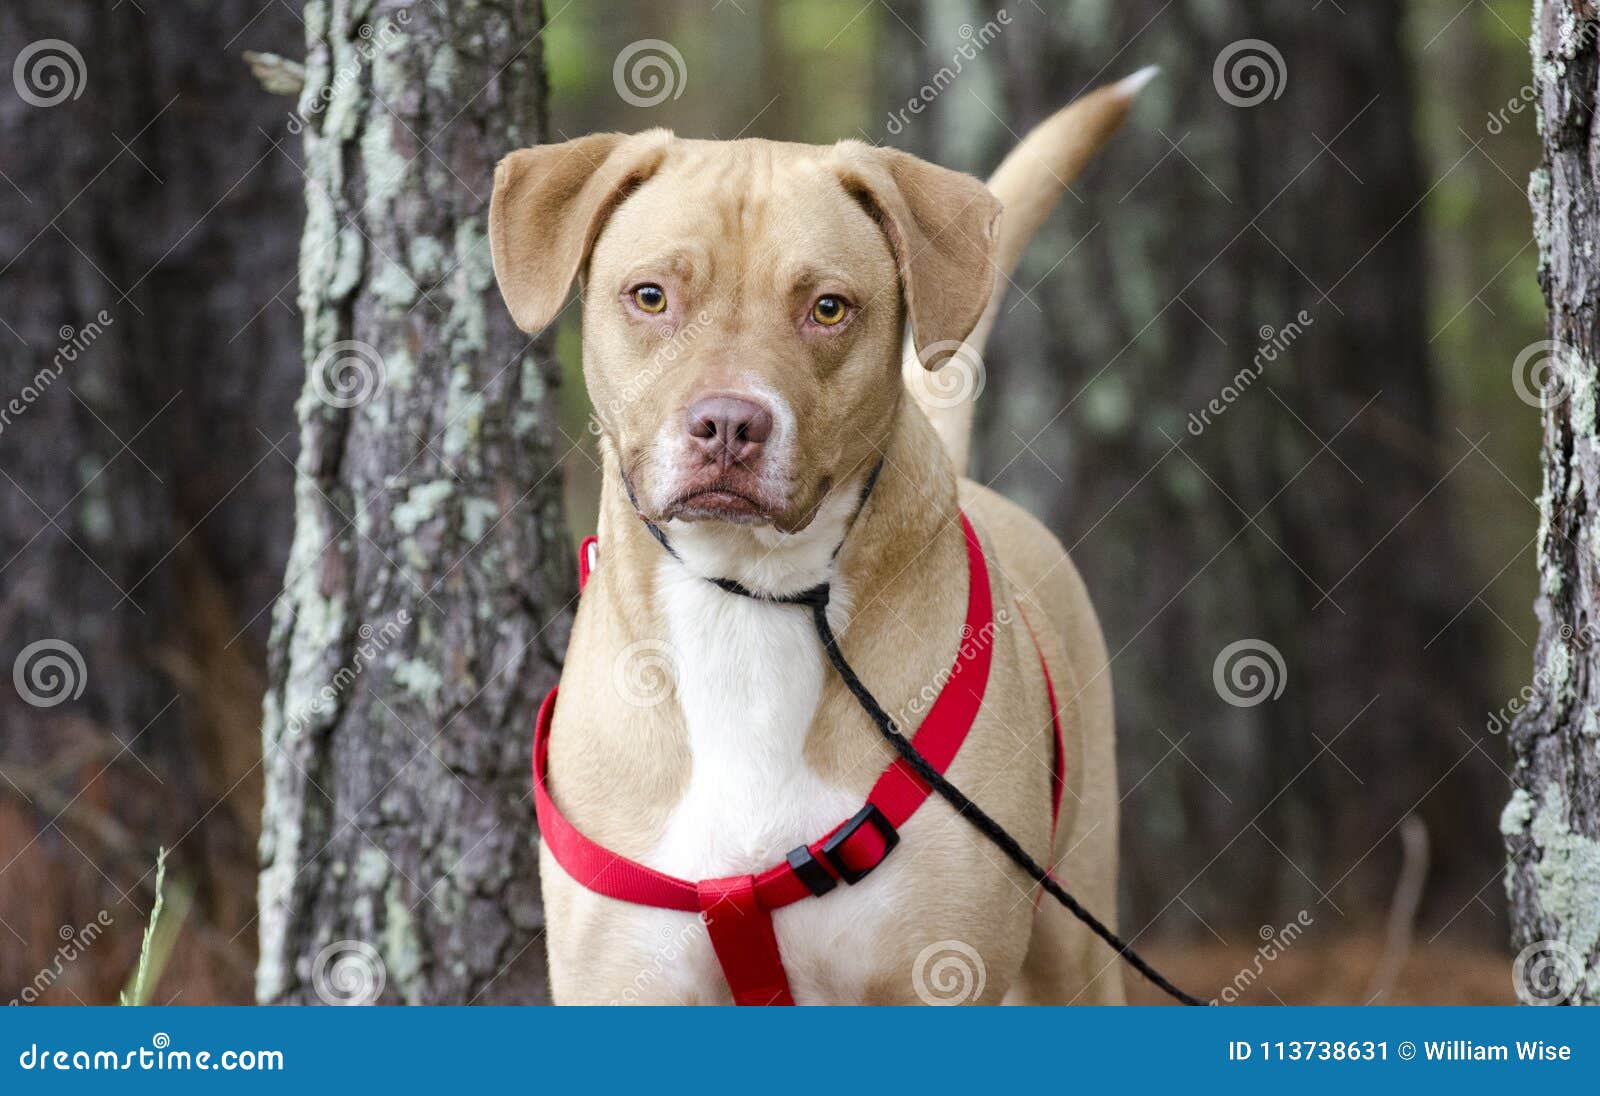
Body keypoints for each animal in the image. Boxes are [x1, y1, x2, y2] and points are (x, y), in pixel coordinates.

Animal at [486, 72, 1152, 1004]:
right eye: (651, 296)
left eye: (828, 308)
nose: (729, 425)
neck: (751, 601)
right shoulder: (625, 983)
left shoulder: (939, 976)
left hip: (1077, 940)